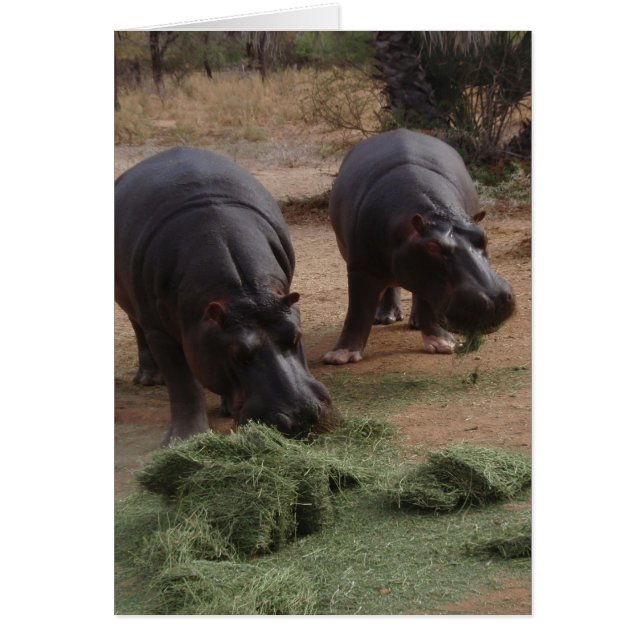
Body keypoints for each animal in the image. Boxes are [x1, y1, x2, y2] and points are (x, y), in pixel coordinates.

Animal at [115, 147, 334, 443]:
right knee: (138, 329)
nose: (303, 417)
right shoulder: (160, 333)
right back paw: (149, 379)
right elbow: (183, 384)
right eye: (239, 354)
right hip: (134, 307)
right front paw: (184, 439)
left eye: (296, 336)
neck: (245, 294)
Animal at [323, 129, 515, 365]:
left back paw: (414, 323)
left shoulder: (426, 276)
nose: (495, 299)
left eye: (484, 237)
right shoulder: (361, 267)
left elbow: (426, 304)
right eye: (432, 246)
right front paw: (340, 357)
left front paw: (444, 345)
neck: (436, 214)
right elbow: (358, 310)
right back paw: (385, 317)